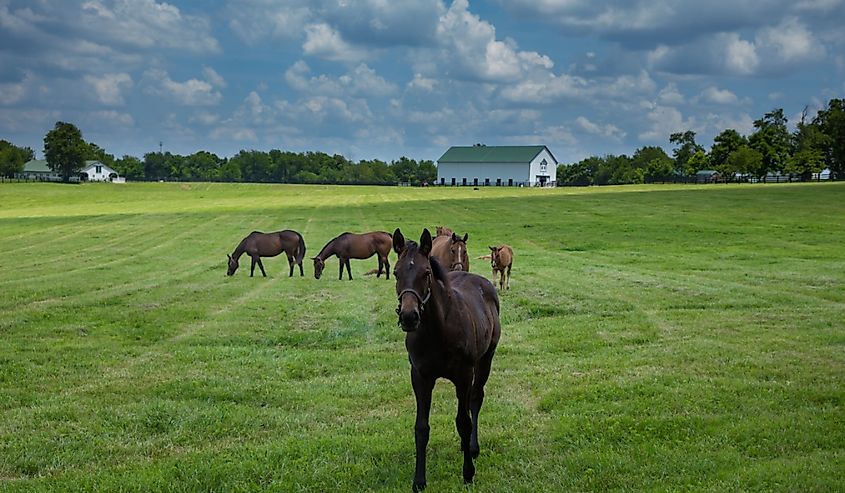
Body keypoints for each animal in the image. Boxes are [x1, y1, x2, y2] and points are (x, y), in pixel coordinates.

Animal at [392, 228, 501, 491]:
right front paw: (419, 480)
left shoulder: (463, 375)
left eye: (426, 273)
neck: (438, 330)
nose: (409, 317)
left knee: (476, 398)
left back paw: (472, 447)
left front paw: (468, 473)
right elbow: (421, 427)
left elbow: (463, 421)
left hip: (486, 359)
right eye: (395, 273)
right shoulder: (420, 376)